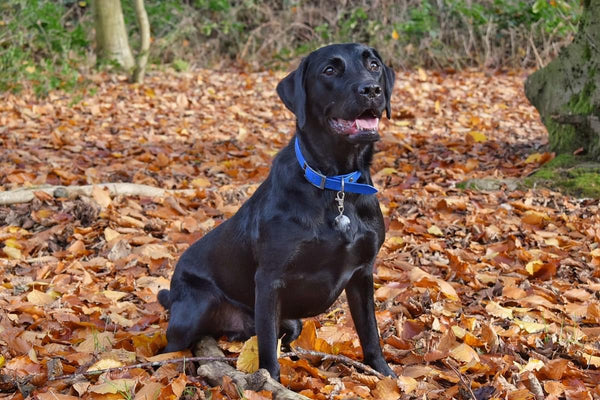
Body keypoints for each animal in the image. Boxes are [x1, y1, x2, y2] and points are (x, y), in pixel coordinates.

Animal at [157, 42, 396, 380]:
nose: (371, 89)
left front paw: (385, 374)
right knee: (171, 346)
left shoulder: (363, 273)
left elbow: (370, 332)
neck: (336, 185)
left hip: (290, 322)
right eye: (330, 70)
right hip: (194, 308)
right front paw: (270, 381)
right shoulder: (270, 280)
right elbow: (268, 349)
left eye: (374, 65)